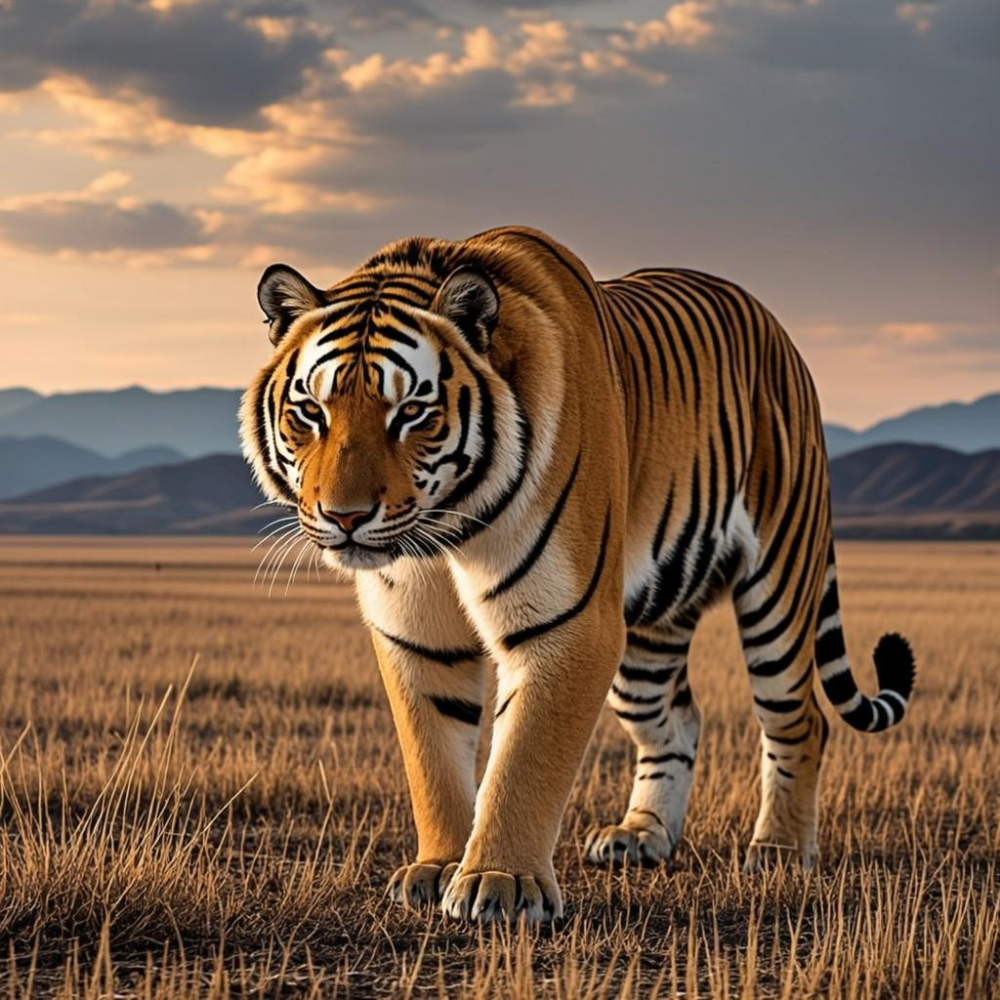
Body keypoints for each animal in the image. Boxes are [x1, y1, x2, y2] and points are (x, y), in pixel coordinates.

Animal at [240, 225, 916, 924]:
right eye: (311, 412)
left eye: (411, 414)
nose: (344, 517)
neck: (447, 529)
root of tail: (776, 328)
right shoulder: (417, 636)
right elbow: (433, 757)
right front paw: (436, 867)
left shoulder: (566, 623)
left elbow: (523, 760)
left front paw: (499, 883)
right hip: (647, 641)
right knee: (677, 717)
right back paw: (642, 836)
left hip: (778, 588)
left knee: (799, 717)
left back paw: (778, 851)